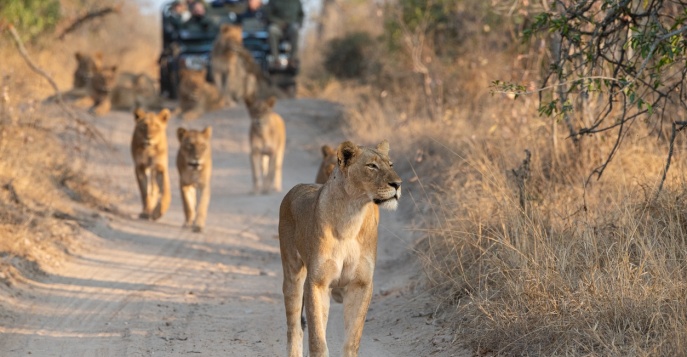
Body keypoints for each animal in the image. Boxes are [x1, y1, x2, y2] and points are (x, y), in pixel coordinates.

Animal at [276, 140, 400, 356]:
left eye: (390, 165)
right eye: (372, 166)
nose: (398, 184)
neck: (351, 217)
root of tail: (296, 188)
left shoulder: (361, 284)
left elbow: (352, 339)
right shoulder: (316, 283)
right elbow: (317, 341)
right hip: (293, 274)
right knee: (294, 328)